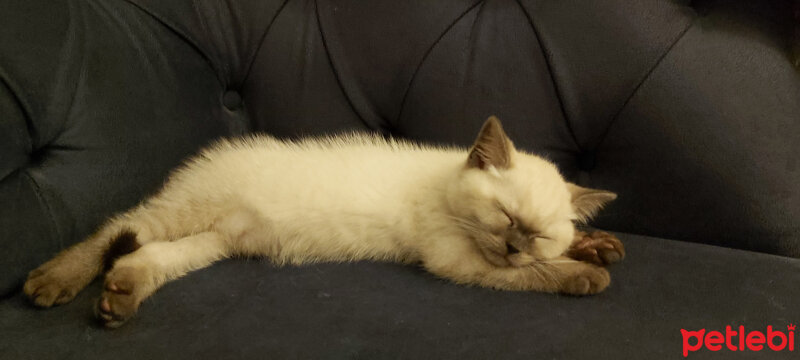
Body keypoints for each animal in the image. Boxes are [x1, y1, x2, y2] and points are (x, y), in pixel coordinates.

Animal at [21, 116, 624, 328]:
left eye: (537, 233)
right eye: (505, 217)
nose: (516, 247)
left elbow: (562, 254)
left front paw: (595, 245)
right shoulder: (459, 261)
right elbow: (536, 277)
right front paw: (587, 273)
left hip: (212, 242)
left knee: (144, 256)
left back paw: (118, 299)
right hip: (182, 213)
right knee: (114, 230)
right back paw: (53, 282)